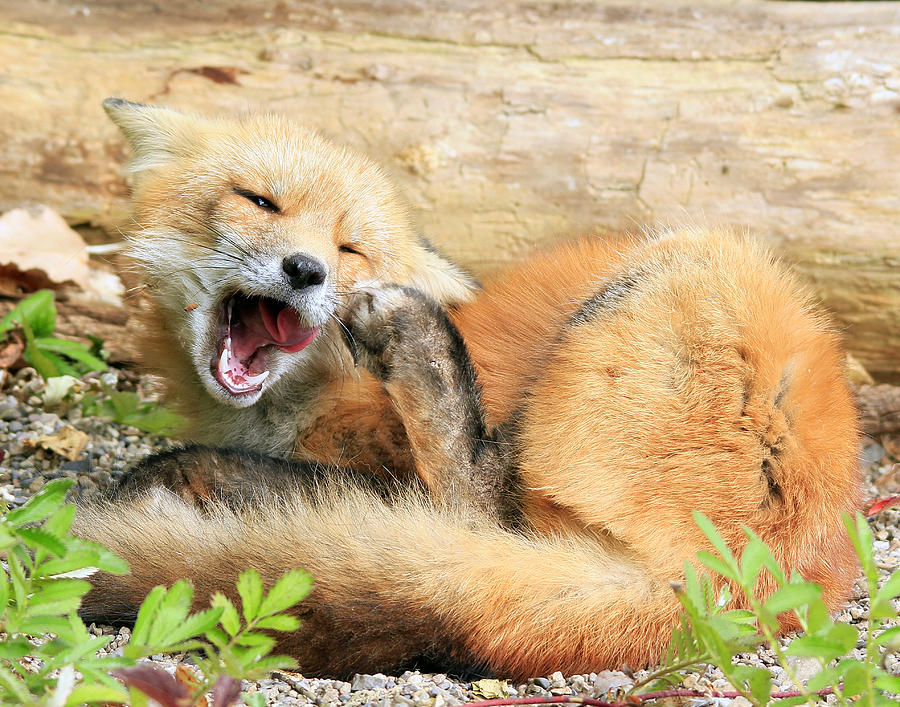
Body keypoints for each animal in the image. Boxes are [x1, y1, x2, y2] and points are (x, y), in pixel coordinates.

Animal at [74, 99, 860, 680]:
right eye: (260, 201)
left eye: (350, 248)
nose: (305, 270)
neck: (307, 394)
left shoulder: (381, 458)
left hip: (680, 265)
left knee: (477, 501)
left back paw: (417, 347)